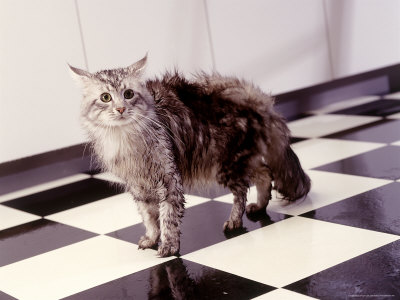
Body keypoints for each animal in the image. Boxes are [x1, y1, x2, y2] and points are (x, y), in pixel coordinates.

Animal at [70, 55, 310, 256]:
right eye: (105, 97)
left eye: (128, 94)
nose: (120, 109)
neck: (125, 140)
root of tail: (254, 98)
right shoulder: (137, 185)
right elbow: (148, 217)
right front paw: (151, 239)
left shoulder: (169, 179)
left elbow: (168, 217)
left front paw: (168, 246)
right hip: (234, 161)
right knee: (263, 173)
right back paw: (259, 206)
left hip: (224, 165)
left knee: (243, 190)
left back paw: (234, 221)